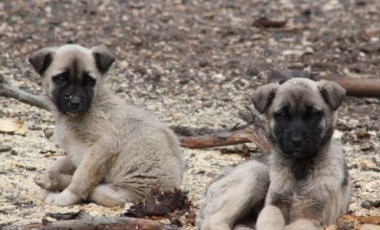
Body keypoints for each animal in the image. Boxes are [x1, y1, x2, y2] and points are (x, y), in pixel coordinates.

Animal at [30, 44, 184, 207]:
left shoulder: (106, 144)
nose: (75, 102)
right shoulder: (78, 153)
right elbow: (61, 163)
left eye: (89, 81)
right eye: (61, 78)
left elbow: (81, 176)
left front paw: (65, 197)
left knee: (95, 189)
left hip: (117, 192)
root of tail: (171, 192)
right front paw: (50, 176)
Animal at [197, 78, 352, 229]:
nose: (296, 141)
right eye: (282, 115)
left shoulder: (311, 217)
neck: (298, 167)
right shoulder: (273, 206)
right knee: (213, 221)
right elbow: (272, 219)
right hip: (257, 172)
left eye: (312, 114)